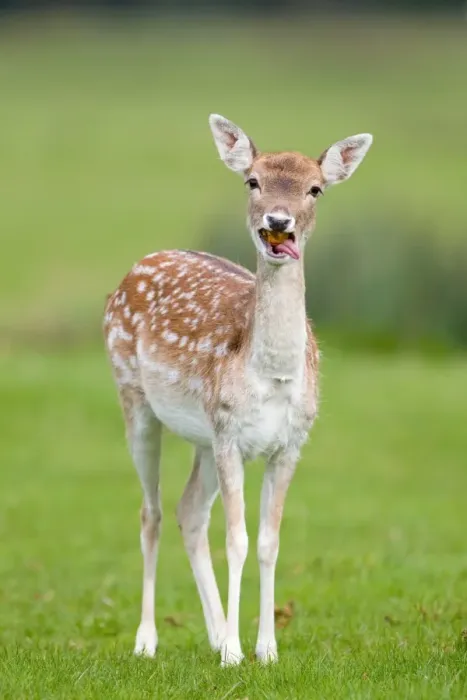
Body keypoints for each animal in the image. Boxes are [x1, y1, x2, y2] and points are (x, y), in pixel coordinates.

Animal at [103, 114, 372, 666]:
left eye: (315, 188)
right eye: (253, 181)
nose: (279, 221)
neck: (272, 375)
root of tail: (130, 272)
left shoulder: (289, 442)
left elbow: (268, 541)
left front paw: (264, 649)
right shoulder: (229, 431)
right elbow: (237, 539)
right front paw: (234, 653)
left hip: (204, 439)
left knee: (187, 511)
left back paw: (213, 633)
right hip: (134, 398)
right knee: (151, 511)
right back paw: (148, 639)